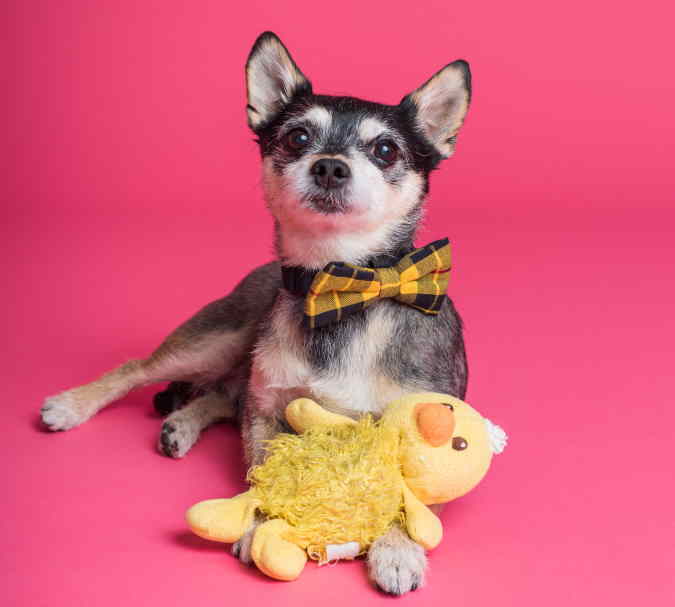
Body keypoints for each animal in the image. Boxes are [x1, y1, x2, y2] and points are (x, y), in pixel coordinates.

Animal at [41, 30, 470, 596]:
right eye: (297, 138)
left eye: (385, 149)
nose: (329, 165)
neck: (341, 287)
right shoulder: (269, 410)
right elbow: (264, 470)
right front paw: (264, 528)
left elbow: (412, 495)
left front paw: (397, 550)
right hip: (218, 339)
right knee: (144, 370)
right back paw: (74, 406)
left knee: (226, 395)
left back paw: (179, 424)